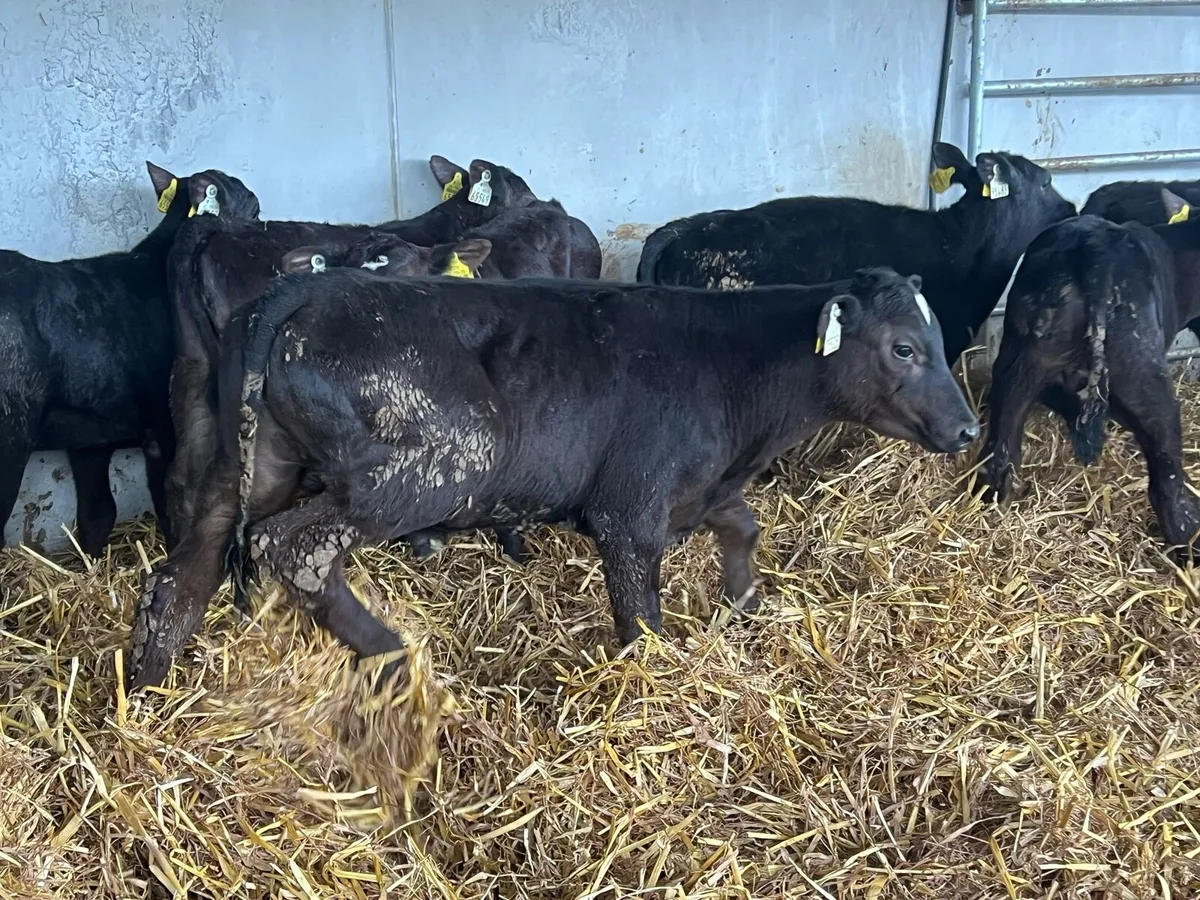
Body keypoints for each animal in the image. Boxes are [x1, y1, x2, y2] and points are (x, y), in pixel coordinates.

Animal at [123, 265, 980, 689]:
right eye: (905, 348)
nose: (968, 428)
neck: (733, 373)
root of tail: (297, 290)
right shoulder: (629, 512)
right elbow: (642, 619)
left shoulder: (701, 489)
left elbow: (744, 526)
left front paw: (742, 606)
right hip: (431, 468)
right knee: (294, 549)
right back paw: (392, 653)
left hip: (245, 468)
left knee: (182, 576)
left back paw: (151, 690)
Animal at [976, 190, 1200, 555]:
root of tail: (1092, 248)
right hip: (1144, 373)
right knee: (1168, 479)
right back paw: (1188, 545)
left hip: (1018, 362)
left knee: (1000, 454)